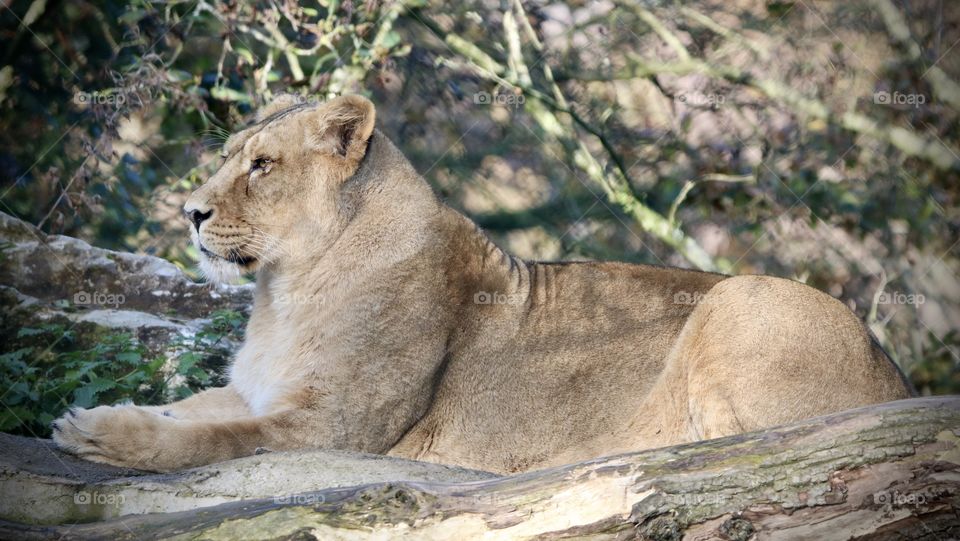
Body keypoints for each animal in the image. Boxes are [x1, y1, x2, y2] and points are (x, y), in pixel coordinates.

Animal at [53, 94, 913, 474]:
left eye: (262, 165)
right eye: (232, 155)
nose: (189, 211)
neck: (284, 292)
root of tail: (897, 377)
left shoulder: (337, 430)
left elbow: (211, 439)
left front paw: (101, 436)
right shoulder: (260, 391)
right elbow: (191, 409)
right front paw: (101, 413)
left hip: (743, 294)